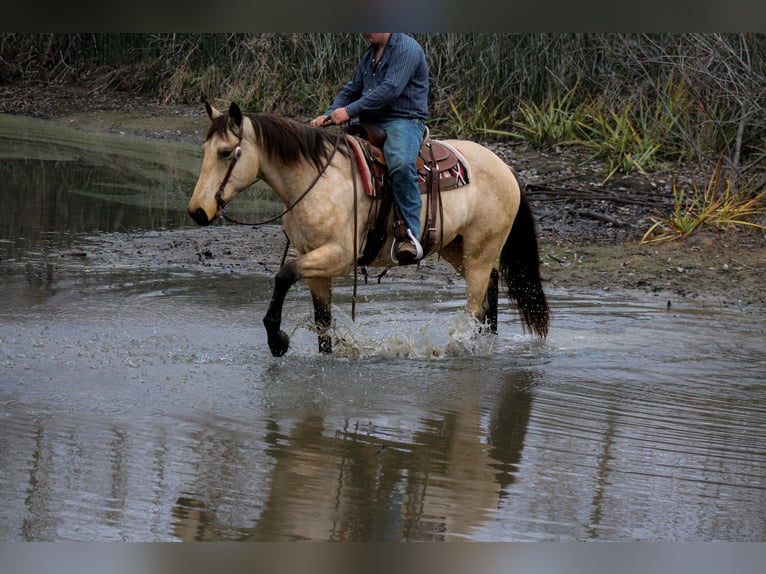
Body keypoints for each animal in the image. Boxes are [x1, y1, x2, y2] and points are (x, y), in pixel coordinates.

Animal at [188, 101, 549, 357]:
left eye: (225, 152)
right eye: (204, 150)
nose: (197, 212)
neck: (316, 179)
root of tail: (505, 168)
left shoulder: (339, 256)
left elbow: (284, 274)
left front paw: (277, 340)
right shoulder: (314, 260)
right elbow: (322, 321)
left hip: (479, 250)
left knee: (476, 304)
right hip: (456, 248)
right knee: (491, 287)